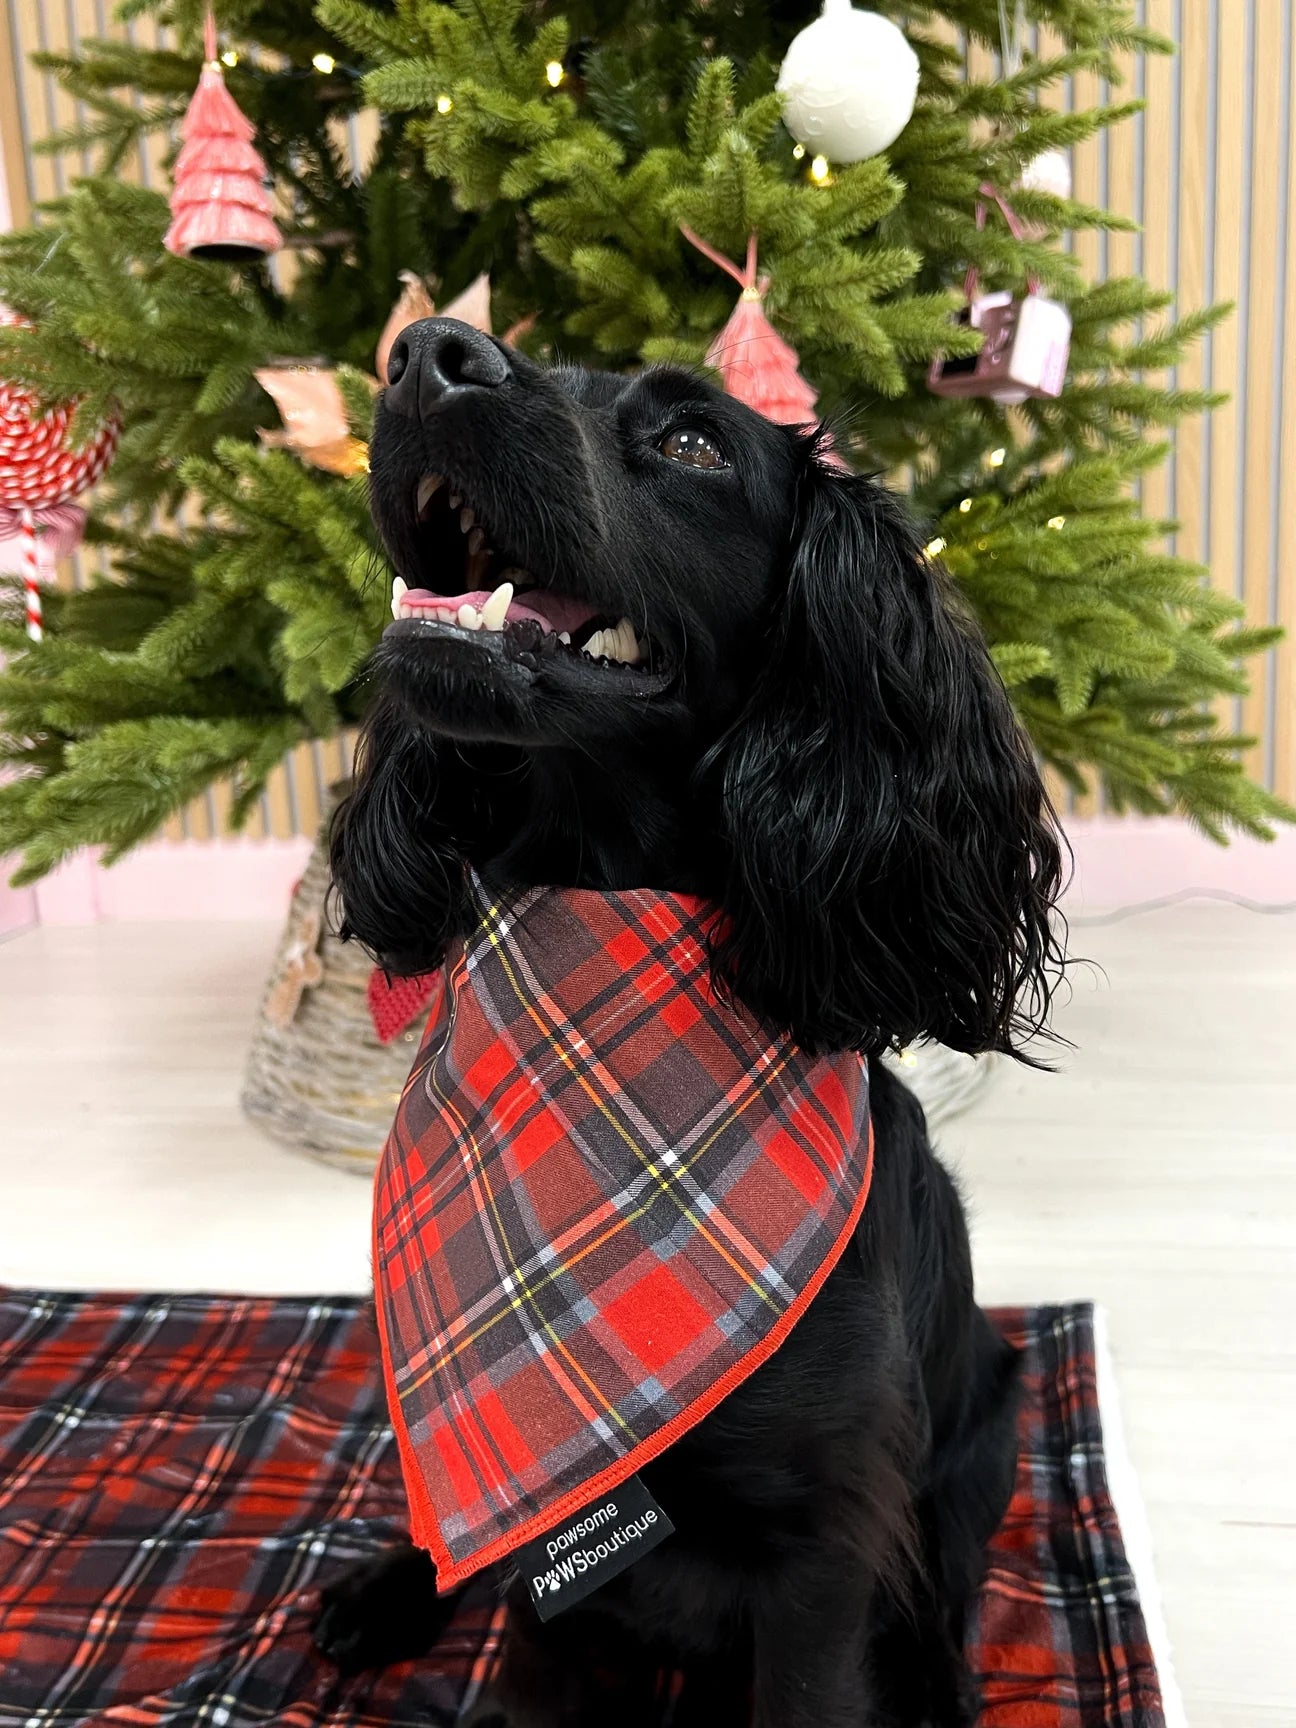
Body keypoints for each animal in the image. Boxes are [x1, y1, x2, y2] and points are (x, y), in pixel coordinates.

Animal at [314, 317, 1064, 1721]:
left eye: (692, 442)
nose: (426, 352)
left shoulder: (825, 1544)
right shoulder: (546, 1543)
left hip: (983, 1432)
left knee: (949, 1585)